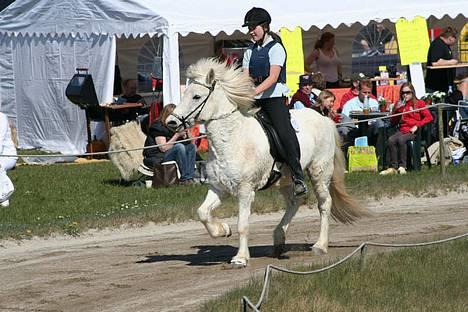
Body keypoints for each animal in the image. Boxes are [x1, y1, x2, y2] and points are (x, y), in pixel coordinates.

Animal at [166, 59, 368, 268]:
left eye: (196, 96)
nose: (171, 122)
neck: (232, 138)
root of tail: (324, 118)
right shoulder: (218, 188)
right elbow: (202, 212)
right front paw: (222, 230)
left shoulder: (245, 191)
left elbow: (242, 225)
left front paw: (240, 258)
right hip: (286, 179)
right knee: (295, 201)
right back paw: (278, 239)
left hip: (319, 171)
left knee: (324, 203)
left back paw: (320, 245)